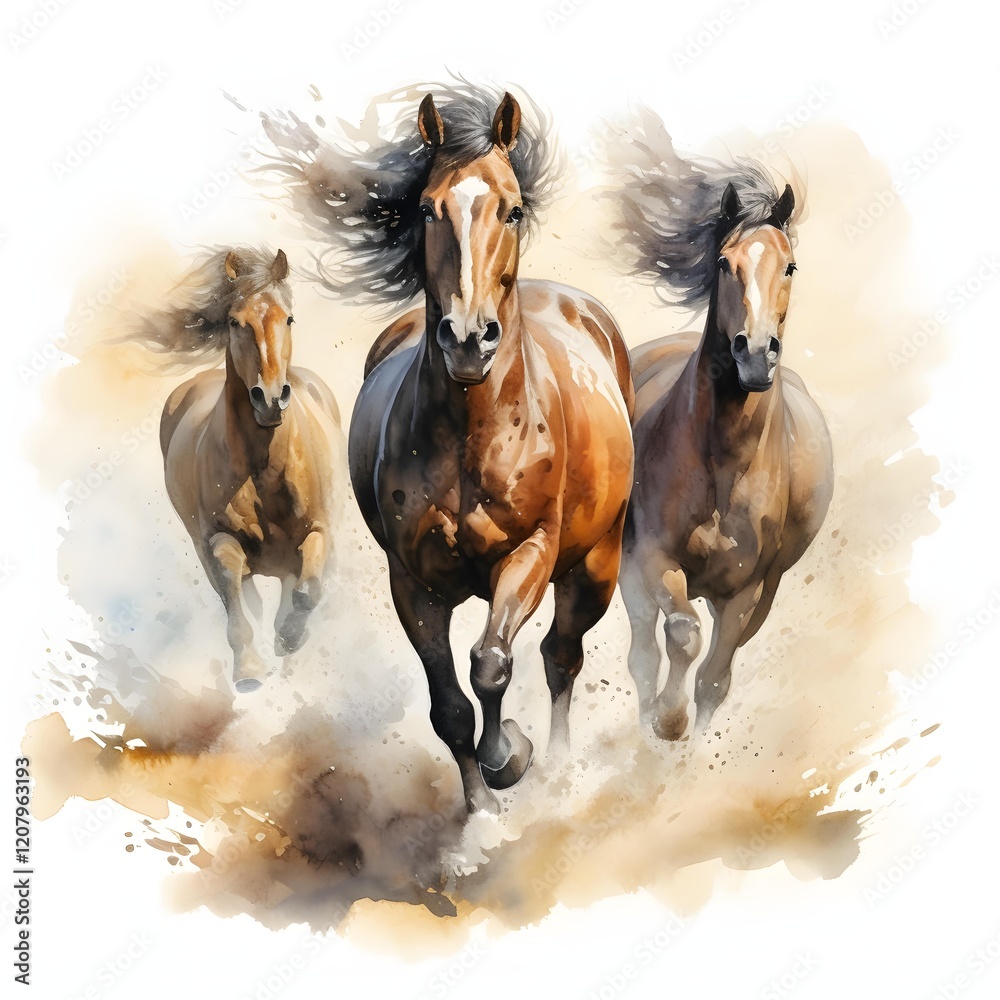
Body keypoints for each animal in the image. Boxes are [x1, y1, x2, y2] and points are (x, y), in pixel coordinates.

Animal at [139, 246, 345, 692]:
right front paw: (249, 669)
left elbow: (308, 591)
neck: (265, 468)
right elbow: (236, 602)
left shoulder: (319, 532)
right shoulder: (219, 541)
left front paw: (289, 638)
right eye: (235, 321)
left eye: (288, 318)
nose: (269, 398)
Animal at [263, 83, 635, 813]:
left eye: (511, 208)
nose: (468, 339)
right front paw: (482, 807)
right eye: (427, 209)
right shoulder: (413, 583)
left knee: (561, 657)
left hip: (595, 565)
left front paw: (510, 755)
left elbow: (491, 665)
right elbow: (450, 708)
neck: (473, 436)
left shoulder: (530, 554)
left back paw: (558, 764)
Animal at [610, 111, 833, 740]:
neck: (726, 464)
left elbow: (715, 675)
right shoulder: (653, 560)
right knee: (645, 654)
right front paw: (667, 721)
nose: (754, 353)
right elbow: (681, 638)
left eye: (790, 265)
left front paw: (689, 737)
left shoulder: (748, 588)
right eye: (724, 263)